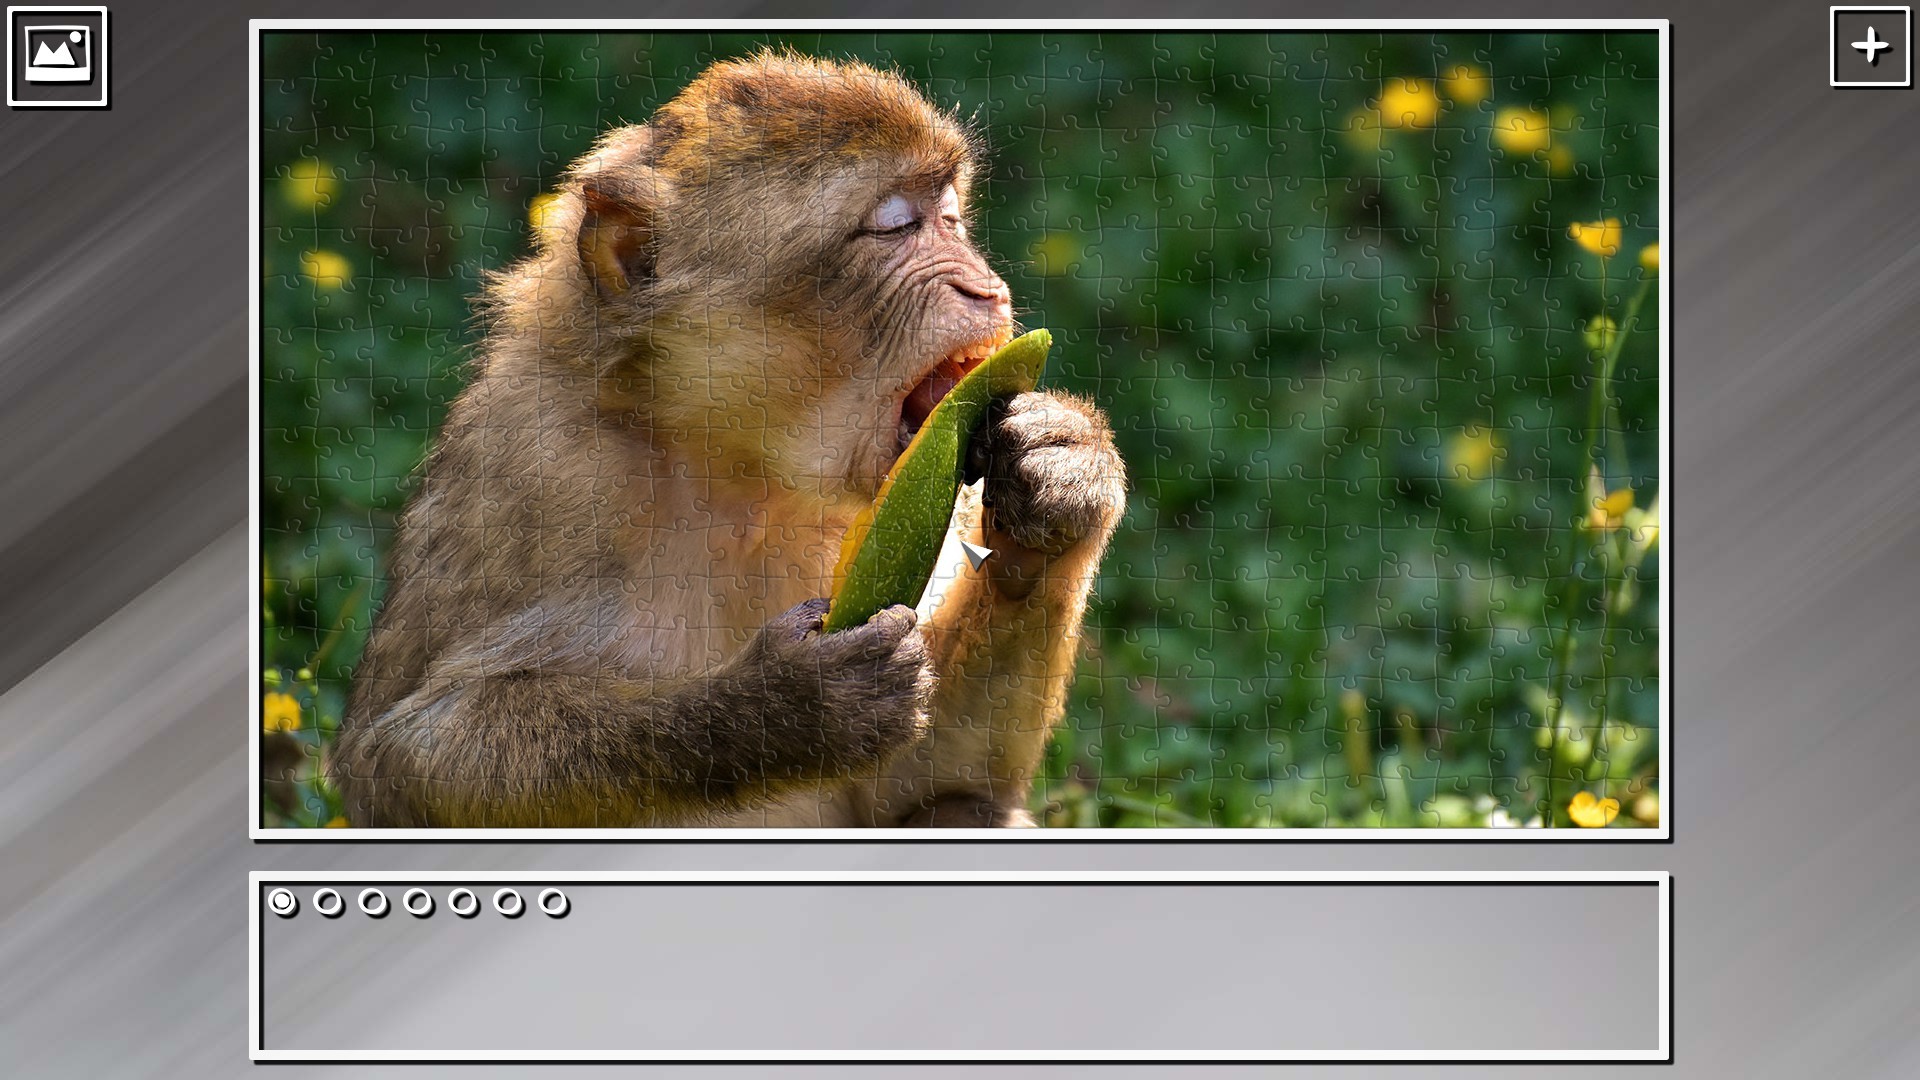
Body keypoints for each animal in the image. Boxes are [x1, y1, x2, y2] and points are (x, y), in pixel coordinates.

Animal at [328, 49, 1127, 827]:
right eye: (895, 225)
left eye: (952, 217)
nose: (986, 290)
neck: (736, 465)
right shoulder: (537, 466)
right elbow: (402, 758)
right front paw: (789, 708)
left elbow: (927, 787)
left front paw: (1065, 478)